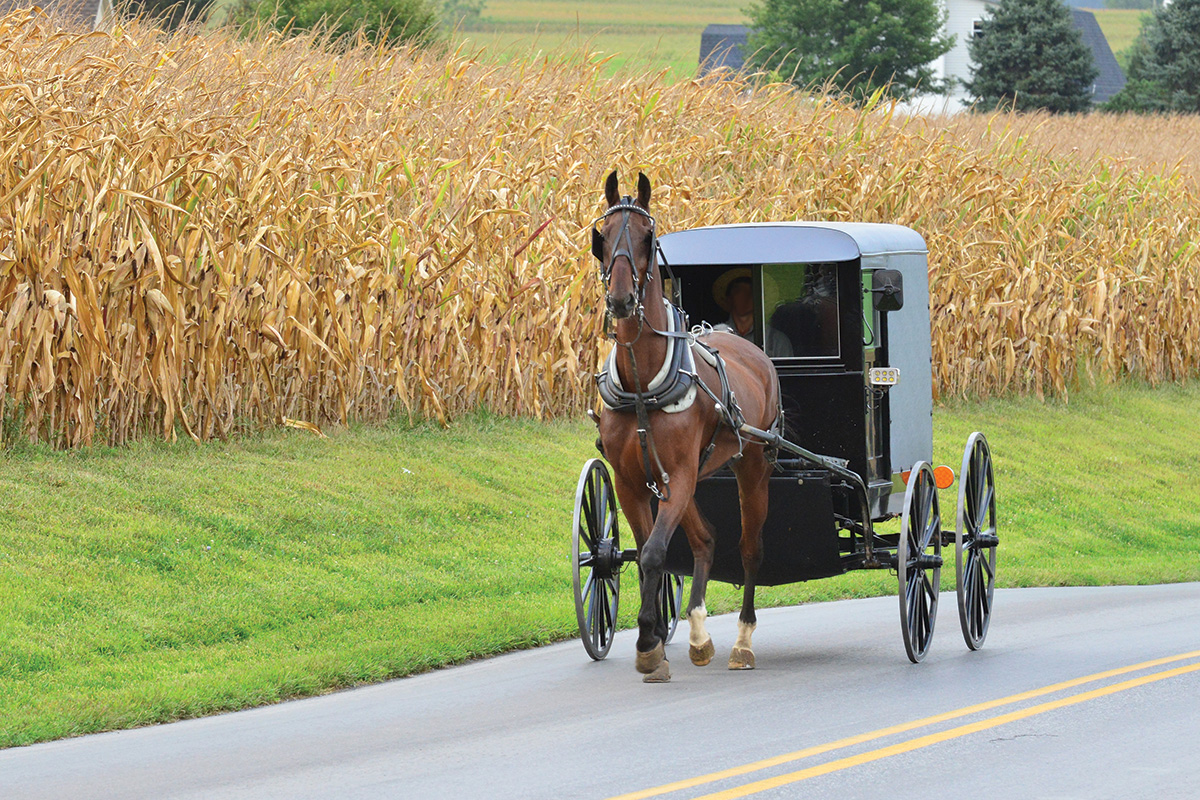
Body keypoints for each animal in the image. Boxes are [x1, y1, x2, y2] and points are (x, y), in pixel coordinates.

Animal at [595, 172, 782, 686]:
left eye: (647, 236)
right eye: (602, 237)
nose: (621, 300)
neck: (643, 385)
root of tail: (752, 350)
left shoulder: (677, 475)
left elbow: (656, 554)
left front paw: (646, 643)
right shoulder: (633, 481)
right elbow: (646, 554)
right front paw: (656, 638)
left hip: (751, 465)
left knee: (750, 548)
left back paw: (742, 642)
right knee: (706, 538)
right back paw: (698, 634)